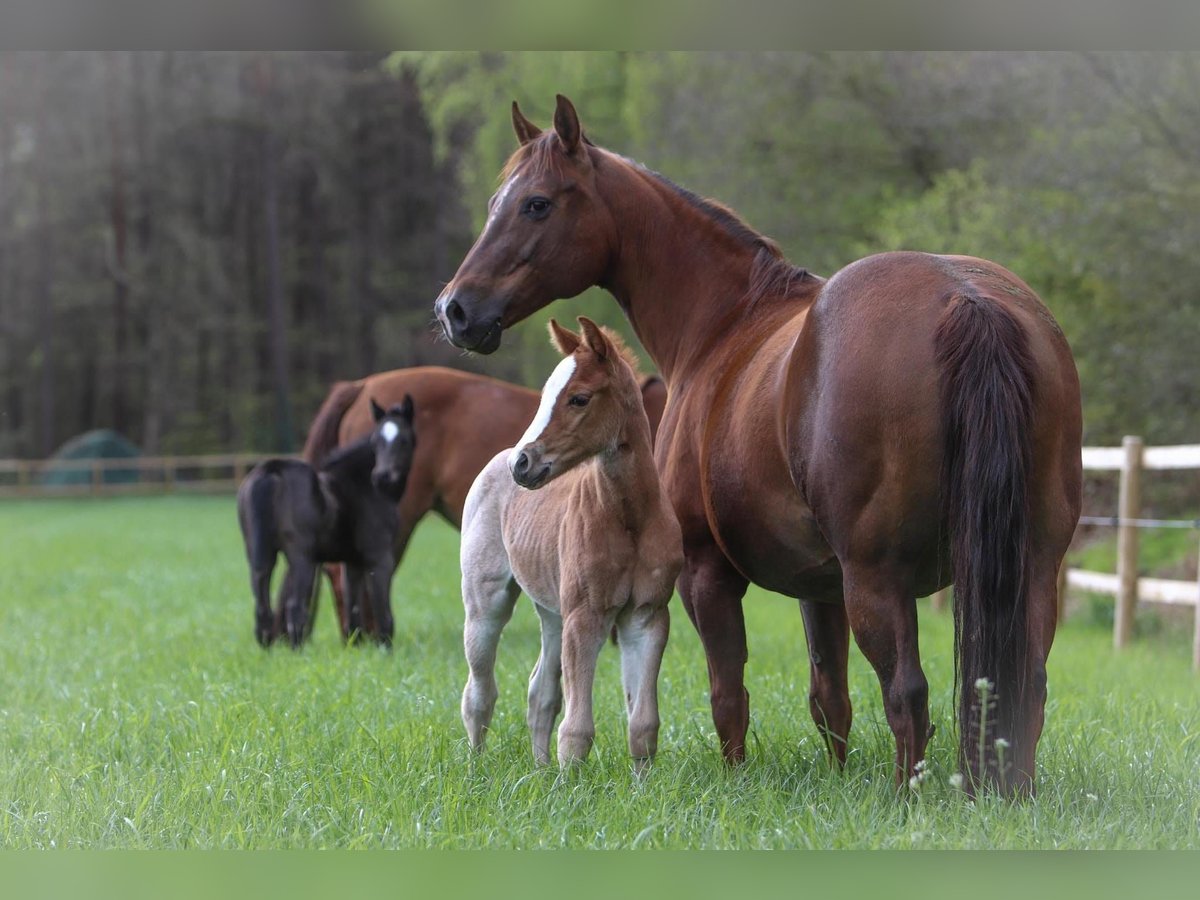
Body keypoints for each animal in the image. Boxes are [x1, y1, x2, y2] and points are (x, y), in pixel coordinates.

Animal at [237, 396, 416, 648]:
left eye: (404, 440)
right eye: (376, 441)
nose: (383, 476)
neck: (364, 486)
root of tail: (271, 471)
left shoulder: (352, 562)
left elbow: (353, 611)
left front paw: (356, 649)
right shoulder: (379, 558)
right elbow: (384, 614)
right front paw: (385, 649)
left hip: (259, 555)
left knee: (262, 608)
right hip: (302, 558)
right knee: (295, 607)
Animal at [459, 318, 683, 767]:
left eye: (579, 398)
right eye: (545, 395)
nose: (522, 464)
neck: (630, 518)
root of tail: (496, 459)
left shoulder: (646, 616)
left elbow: (643, 725)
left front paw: (643, 784)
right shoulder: (586, 615)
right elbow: (577, 729)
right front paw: (570, 784)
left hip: (552, 612)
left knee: (540, 692)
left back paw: (540, 770)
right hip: (485, 603)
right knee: (479, 693)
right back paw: (476, 767)